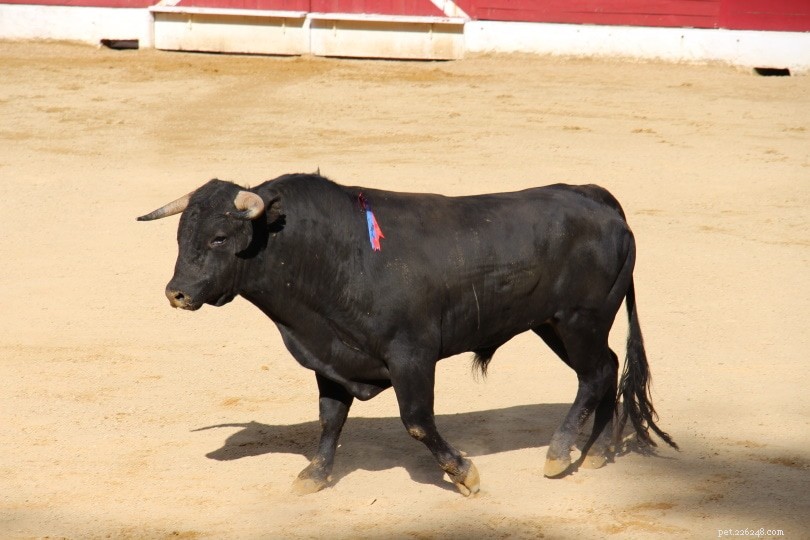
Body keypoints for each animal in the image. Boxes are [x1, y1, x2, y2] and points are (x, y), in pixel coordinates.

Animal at [138, 173, 677, 496]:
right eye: (181, 236)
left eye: (219, 238)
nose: (176, 293)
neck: (340, 255)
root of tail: (594, 196)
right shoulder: (333, 356)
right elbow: (330, 419)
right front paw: (314, 475)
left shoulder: (411, 355)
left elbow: (416, 421)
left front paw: (464, 473)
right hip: (556, 326)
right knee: (606, 369)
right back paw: (597, 452)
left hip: (580, 319)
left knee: (595, 374)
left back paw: (560, 453)